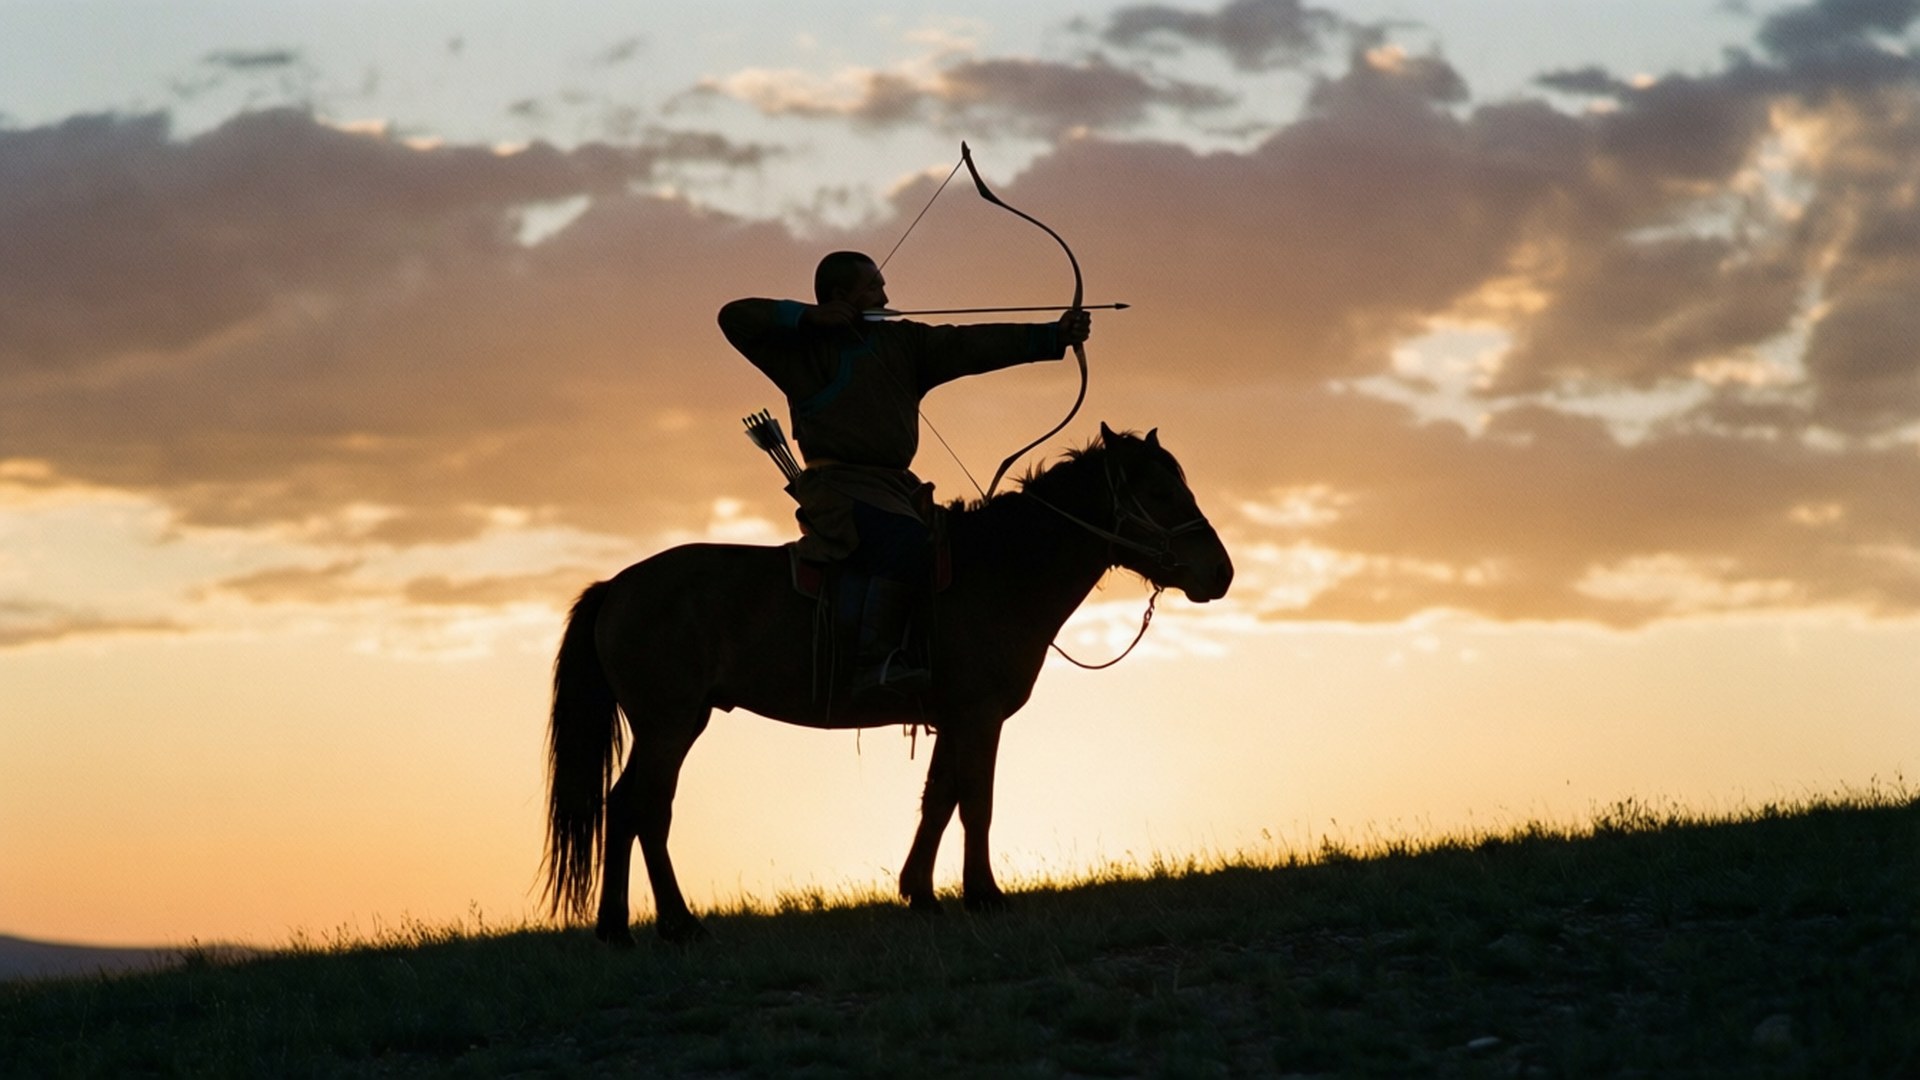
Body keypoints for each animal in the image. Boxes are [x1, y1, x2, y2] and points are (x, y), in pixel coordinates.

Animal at [542, 423, 1234, 944]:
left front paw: (921, 894)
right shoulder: (980, 716)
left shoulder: (955, 718)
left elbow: (939, 800)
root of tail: (617, 587)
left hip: (680, 721)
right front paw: (984, 896)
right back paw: (678, 925)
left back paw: (618, 929)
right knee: (646, 807)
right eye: (1161, 491)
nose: (1220, 573)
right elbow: (976, 803)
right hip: (668, 722)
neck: (999, 572)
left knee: (623, 807)